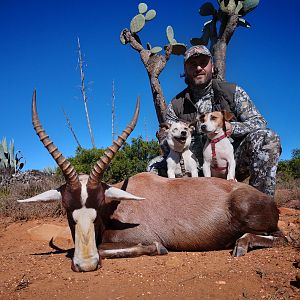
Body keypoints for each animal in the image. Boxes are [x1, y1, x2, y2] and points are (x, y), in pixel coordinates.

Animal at [18, 91, 286, 272]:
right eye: (66, 208)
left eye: (100, 203)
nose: (86, 264)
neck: (117, 207)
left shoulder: (139, 236)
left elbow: (110, 247)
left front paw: (157, 249)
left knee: (283, 238)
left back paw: (241, 244)